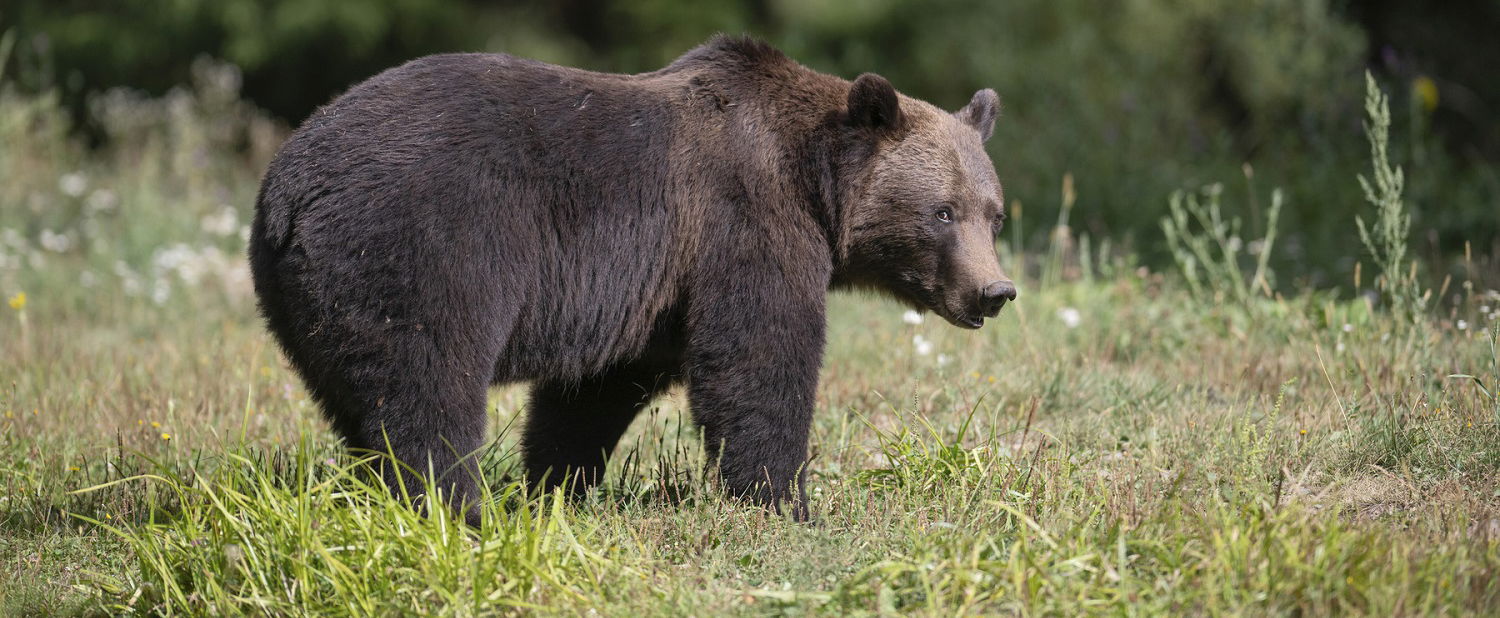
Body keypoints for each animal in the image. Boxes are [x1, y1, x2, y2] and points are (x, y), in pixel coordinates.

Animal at [249, 35, 1020, 525]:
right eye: (942, 212)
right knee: (427, 390)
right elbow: (758, 361)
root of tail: (288, 186)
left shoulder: (648, 292)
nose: (995, 292)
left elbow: (594, 393)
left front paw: (557, 486)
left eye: (994, 214)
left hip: (313, 300)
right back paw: (458, 512)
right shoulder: (741, 224)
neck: (815, 184)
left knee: (357, 400)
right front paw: (786, 504)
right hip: (423, 245)